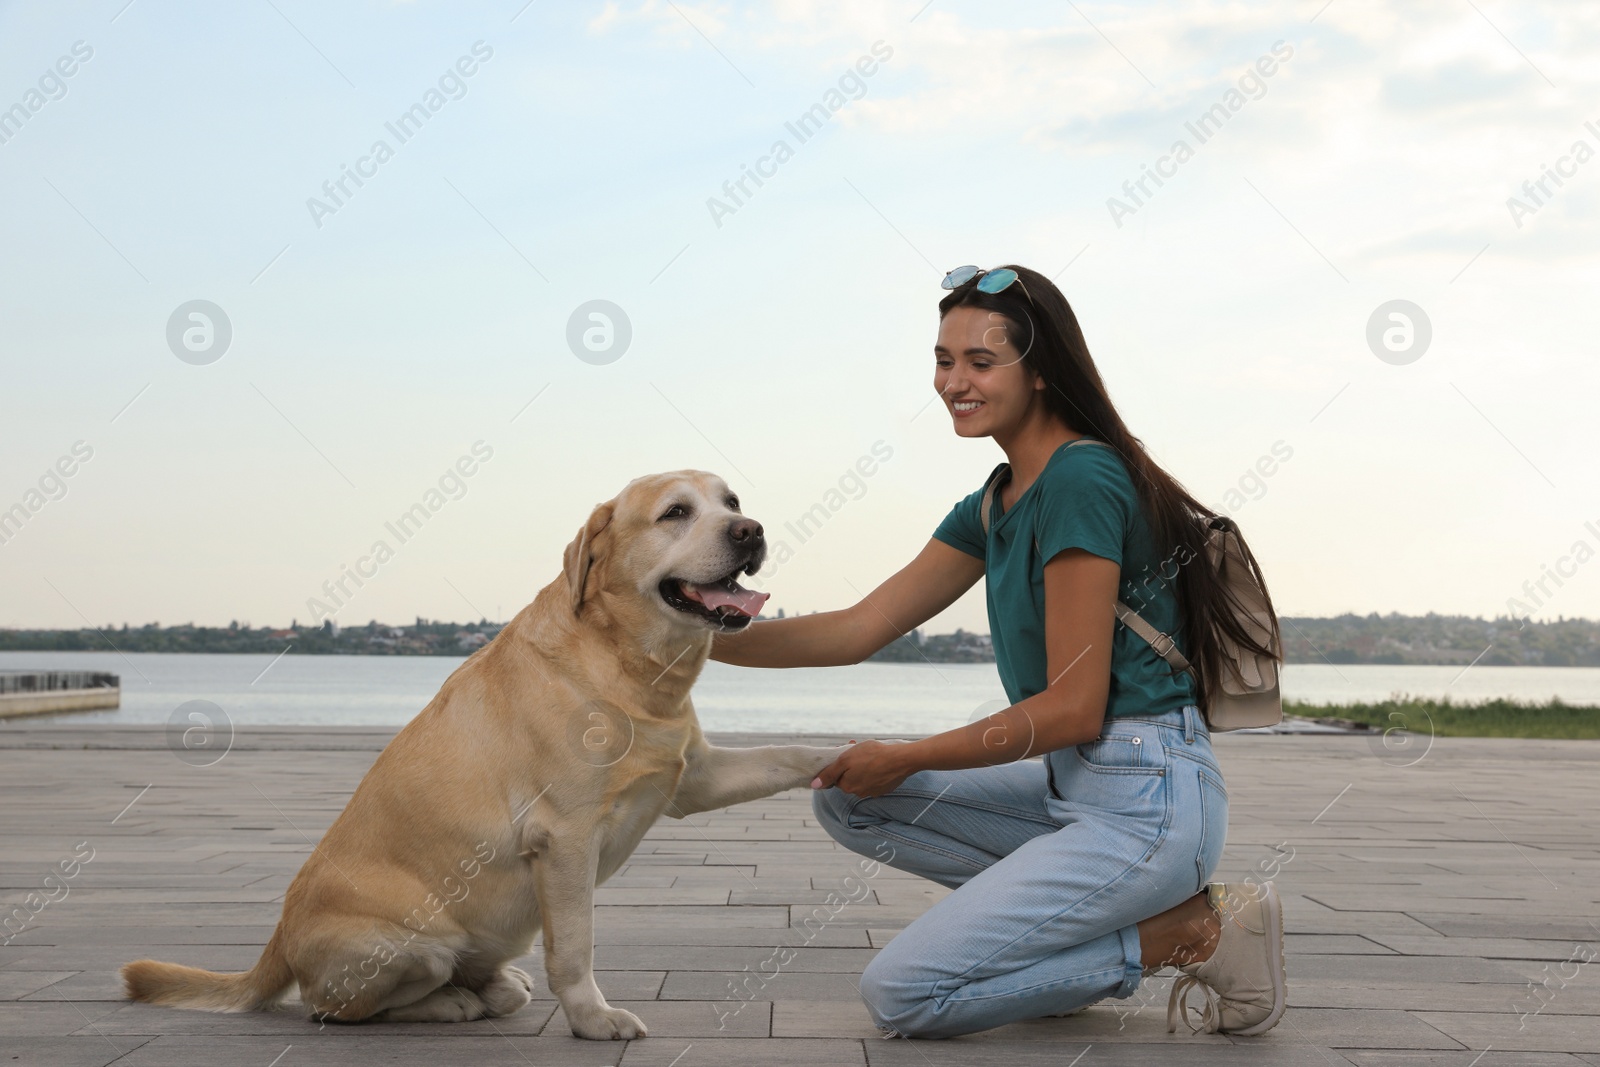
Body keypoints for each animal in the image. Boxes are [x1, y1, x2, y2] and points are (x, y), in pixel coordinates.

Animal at [123, 470, 844, 1036]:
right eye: (676, 512)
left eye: (732, 500)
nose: (750, 530)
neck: (629, 668)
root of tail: (277, 939)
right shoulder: (565, 837)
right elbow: (575, 947)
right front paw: (593, 1018)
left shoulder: (695, 777)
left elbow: (788, 752)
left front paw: (850, 755)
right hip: (414, 946)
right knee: (334, 1006)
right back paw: (452, 1004)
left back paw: (494, 987)